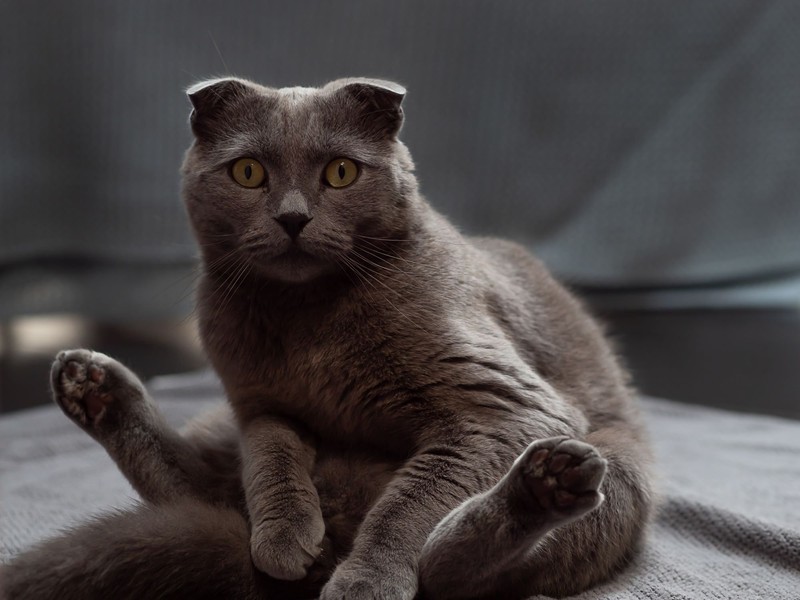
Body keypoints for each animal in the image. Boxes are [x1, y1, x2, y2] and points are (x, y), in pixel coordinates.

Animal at [0, 78, 652, 600]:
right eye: (248, 171)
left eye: (341, 172)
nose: (293, 217)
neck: (308, 320)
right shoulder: (257, 404)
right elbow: (270, 459)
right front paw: (285, 537)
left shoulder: (499, 409)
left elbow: (410, 504)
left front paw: (368, 580)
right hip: (216, 426)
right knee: (201, 492)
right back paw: (92, 386)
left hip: (617, 470)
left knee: (451, 571)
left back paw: (546, 485)